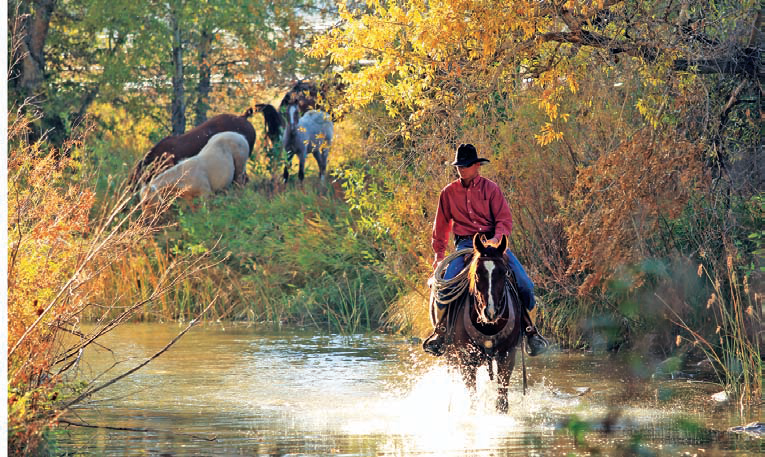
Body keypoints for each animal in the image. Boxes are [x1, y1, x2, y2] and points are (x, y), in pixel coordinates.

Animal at [426, 233, 524, 412]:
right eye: (477, 273)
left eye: (504, 273)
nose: (490, 312)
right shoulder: (466, 360)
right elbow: (472, 398)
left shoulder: (507, 356)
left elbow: (502, 401)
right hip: (450, 353)